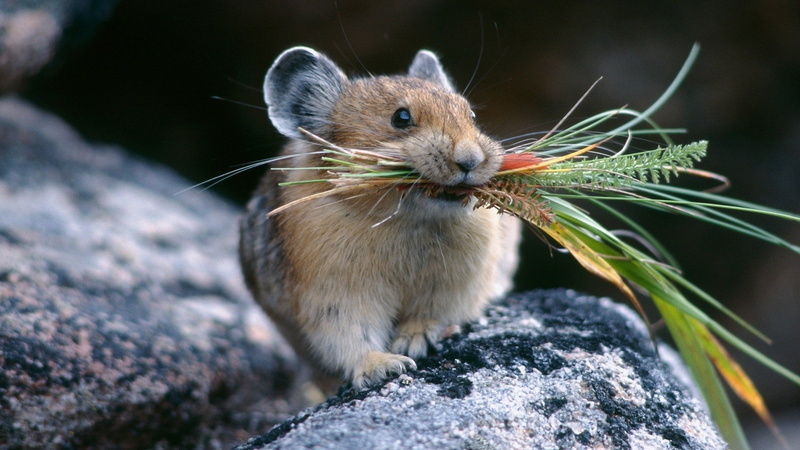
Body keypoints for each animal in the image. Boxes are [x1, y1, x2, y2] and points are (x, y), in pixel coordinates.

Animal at [240, 47, 521, 390]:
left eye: (472, 116)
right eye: (401, 118)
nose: (470, 160)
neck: (408, 222)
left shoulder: (457, 285)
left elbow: (435, 314)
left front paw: (414, 340)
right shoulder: (330, 294)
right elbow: (347, 335)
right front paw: (385, 366)